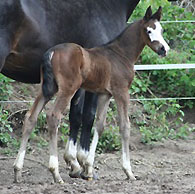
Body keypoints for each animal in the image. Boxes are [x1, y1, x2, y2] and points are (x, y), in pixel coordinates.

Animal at [13, 6, 169, 183]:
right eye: (149, 30)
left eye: (161, 30)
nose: (164, 49)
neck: (120, 54)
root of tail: (51, 52)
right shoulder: (121, 92)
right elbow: (124, 126)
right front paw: (128, 171)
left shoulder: (105, 94)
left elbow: (99, 126)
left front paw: (88, 168)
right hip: (67, 89)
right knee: (54, 117)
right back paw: (55, 173)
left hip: (47, 89)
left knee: (30, 118)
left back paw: (17, 170)